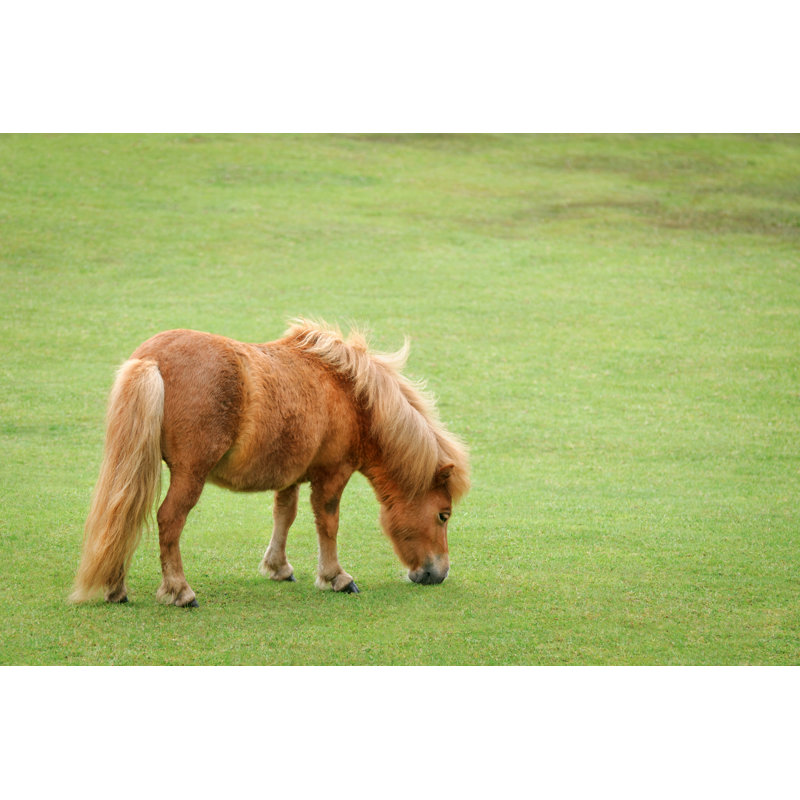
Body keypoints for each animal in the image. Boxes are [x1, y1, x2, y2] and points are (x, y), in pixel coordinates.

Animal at [70, 319, 470, 606]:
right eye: (443, 515)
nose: (438, 574)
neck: (350, 393)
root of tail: (151, 360)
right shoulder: (332, 474)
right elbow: (327, 522)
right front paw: (335, 577)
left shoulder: (289, 473)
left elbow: (284, 514)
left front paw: (278, 567)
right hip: (189, 475)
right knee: (168, 520)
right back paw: (180, 591)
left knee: (122, 513)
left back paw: (116, 588)